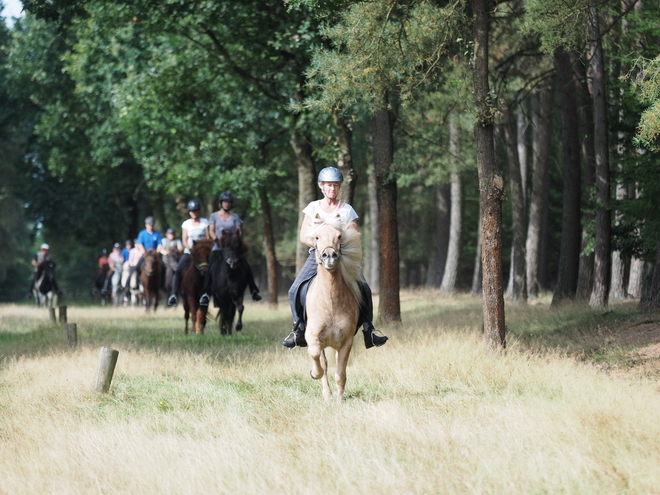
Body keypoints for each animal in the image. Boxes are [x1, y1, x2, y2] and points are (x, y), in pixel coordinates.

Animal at [304, 217, 360, 404]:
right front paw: (315, 373)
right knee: (323, 363)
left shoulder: (346, 341)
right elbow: (316, 357)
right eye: (316, 237)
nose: (329, 256)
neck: (330, 302)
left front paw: (340, 401)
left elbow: (341, 374)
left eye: (339, 236)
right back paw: (327, 396)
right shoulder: (312, 337)